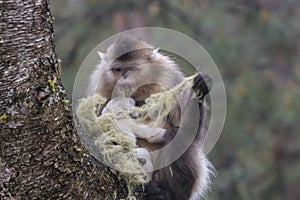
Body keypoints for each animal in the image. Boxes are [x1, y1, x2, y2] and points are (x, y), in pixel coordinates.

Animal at [86, 35, 213, 199]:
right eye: (118, 70)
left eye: (132, 69)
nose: (124, 79)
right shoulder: (101, 84)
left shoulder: (168, 76)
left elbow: (188, 130)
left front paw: (200, 88)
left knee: (177, 136)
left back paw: (167, 192)